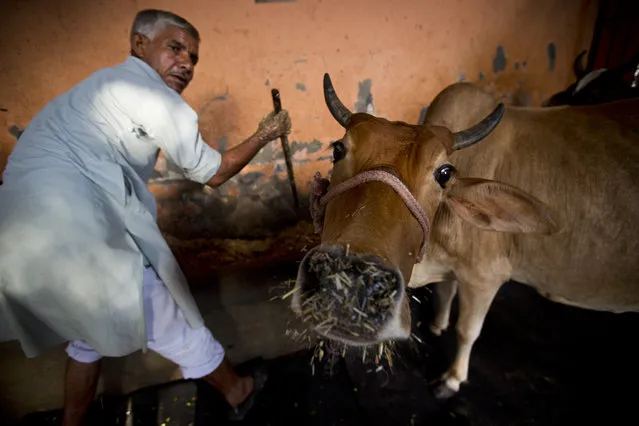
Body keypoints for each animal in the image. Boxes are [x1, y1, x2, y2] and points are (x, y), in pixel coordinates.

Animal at [292, 74, 639, 400]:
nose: (350, 285)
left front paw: (452, 379)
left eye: (444, 173)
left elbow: (467, 330)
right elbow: (445, 293)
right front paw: (437, 325)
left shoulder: (486, 276)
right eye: (338, 149)